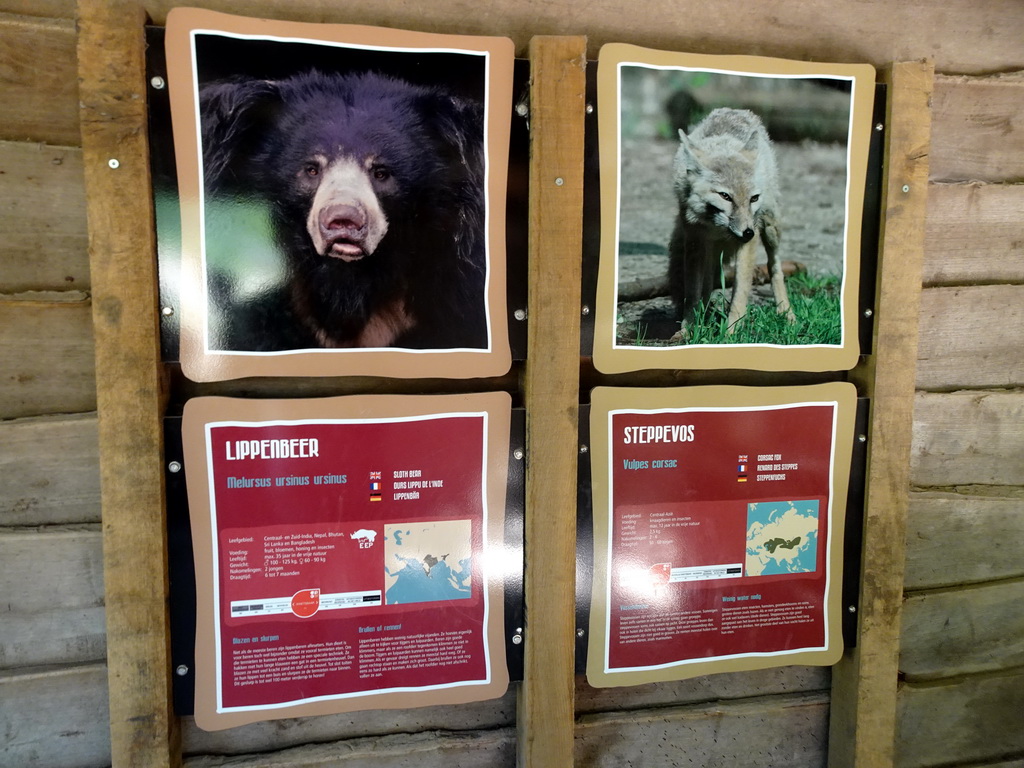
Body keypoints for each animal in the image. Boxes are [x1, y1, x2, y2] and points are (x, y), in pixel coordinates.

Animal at [667, 107, 794, 335]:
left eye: (753, 198)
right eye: (725, 196)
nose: (748, 232)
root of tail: (735, 110)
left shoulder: (748, 244)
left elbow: (740, 292)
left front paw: (732, 332)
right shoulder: (694, 242)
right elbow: (692, 293)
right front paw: (689, 328)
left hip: (770, 229)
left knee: (775, 267)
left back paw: (786, 313)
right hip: (708, 251)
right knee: (708, 283)